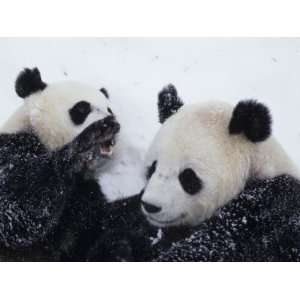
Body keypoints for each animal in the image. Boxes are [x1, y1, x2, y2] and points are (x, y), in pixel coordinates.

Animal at [0, 67, 122, 260]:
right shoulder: (10, 147)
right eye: (82, 108)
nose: (113, 123)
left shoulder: (86, 193)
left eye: (110, 110)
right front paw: (86, 142)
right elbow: (17, 210)